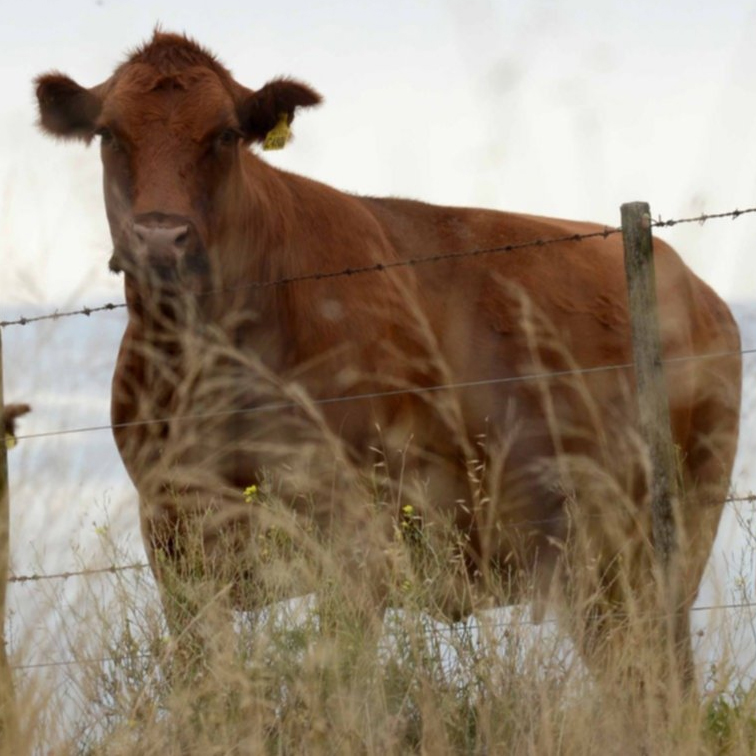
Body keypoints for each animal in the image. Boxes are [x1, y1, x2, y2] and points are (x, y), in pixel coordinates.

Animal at [37, 32, 744, 688]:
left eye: (226, 135)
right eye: (108, 134)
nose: (160, 238)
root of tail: (699, 291)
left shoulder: (356, 532)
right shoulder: (171, 539)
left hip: (672, 542)